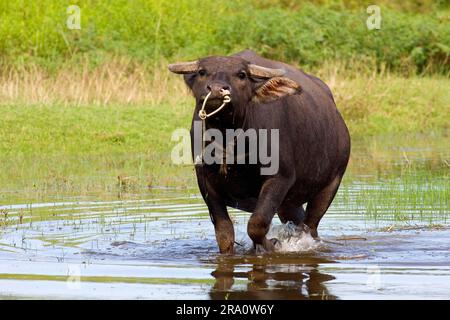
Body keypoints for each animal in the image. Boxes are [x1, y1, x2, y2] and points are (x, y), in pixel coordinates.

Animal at [171, 50, 350, 254]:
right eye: (202, 72)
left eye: (241, 74)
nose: (217, 89)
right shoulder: (206, 183)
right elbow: (224, 234)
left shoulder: (280, 178)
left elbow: (257, 224)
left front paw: (272, 244)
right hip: (290, 202)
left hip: (332, 182)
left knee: (310, 226)